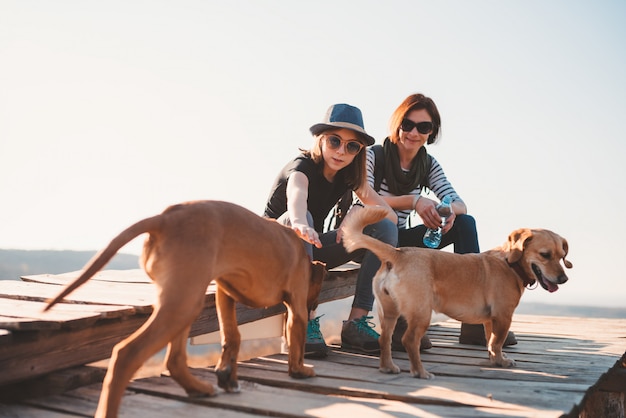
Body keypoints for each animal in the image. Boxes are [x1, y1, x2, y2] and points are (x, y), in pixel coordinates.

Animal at [45, 201, 324, 416]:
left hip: (186, 301)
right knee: (126, 354)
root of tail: (164, 218)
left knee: (174, 360)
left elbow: (233, 336)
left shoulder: (225, 293)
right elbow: (295, 343)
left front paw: (227, 376)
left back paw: (197, 388)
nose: (313, 307)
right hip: (183, 302)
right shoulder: (297, 308)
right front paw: (300, 370)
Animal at [342, 206, 572, 378]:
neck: (510, 263)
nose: (564, 279)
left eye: (562, 256)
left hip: (389, 312)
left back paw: (388, 367)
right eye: (545, 255)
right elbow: (497, 342)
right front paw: (501, 361)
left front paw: (495, 360)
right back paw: (420, 372)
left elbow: (491, 343)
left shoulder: (490, 320)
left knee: (385, 340)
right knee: (409, 340)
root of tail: (398, 253)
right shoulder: (503, 316)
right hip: (421, 313)